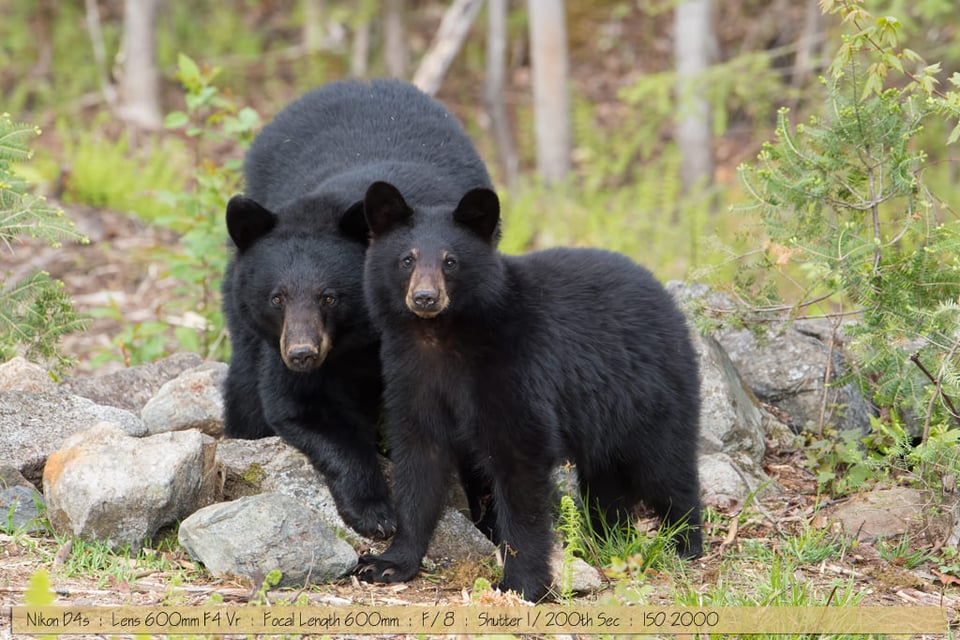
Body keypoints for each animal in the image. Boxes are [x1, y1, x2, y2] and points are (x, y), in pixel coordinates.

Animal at [220, 79, 492, 540]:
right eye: (277, 297)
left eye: (330, 296)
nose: (302, 354)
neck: (361, 339)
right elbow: (302, 408)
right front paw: (375, 510)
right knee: (244, 389)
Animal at [356, 180, 700, 600]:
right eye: (407, 259)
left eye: (450, 261)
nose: (425, 298)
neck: (440, 337)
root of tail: (665, 296)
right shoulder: (410, 376)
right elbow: (419, 462)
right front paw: (387, 563)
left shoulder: (516, 367)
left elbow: (520, 464)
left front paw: (521, 583)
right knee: (606, 477)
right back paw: (608, 537)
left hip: (653, 394)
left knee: (667, 467)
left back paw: (684, 543)